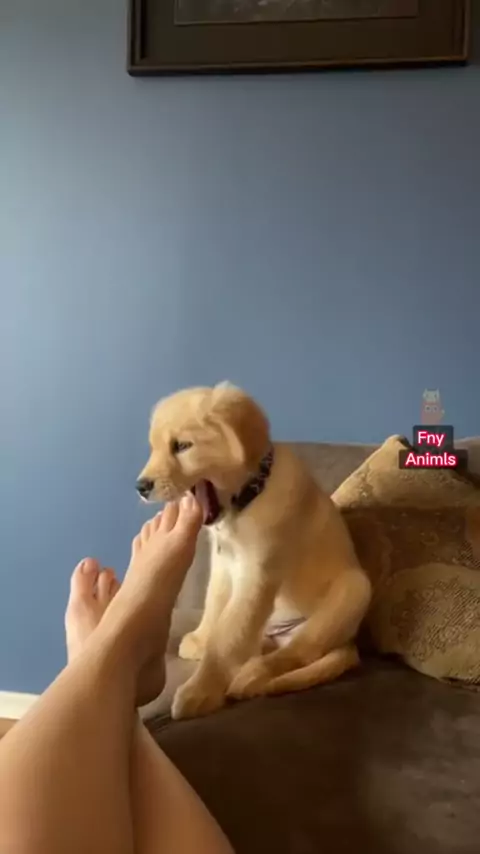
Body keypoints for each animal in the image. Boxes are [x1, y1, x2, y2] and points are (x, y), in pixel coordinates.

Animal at [137, 382, 372, 720]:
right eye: (153, 447)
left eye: (182, 446)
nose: (140, 487)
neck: (247, 498)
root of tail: (350, 644)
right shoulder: (223, 565)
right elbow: (215, 608)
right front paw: (202, 639)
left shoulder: (257, 576)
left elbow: (227, 637)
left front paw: (201, 692)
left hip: (354, 590)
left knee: (298, 653)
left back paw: (250, 676)